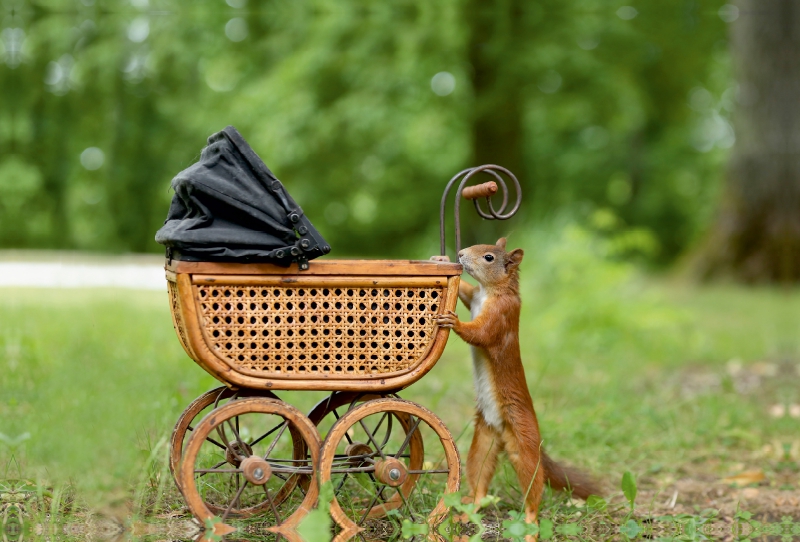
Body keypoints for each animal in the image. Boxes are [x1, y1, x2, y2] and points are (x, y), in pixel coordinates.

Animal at [438, 239, 600, 528]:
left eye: (488, 257)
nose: (460, 254)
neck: (490, 291)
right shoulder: (475, 296)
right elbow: (466, 291)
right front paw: (443, 260)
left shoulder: (501, 316)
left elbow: (480, 333)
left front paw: (454, 320)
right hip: (484, 440)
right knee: (480, 476)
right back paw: (471, 504)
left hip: (523, 443)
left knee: (533, 483)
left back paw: (530, 523)